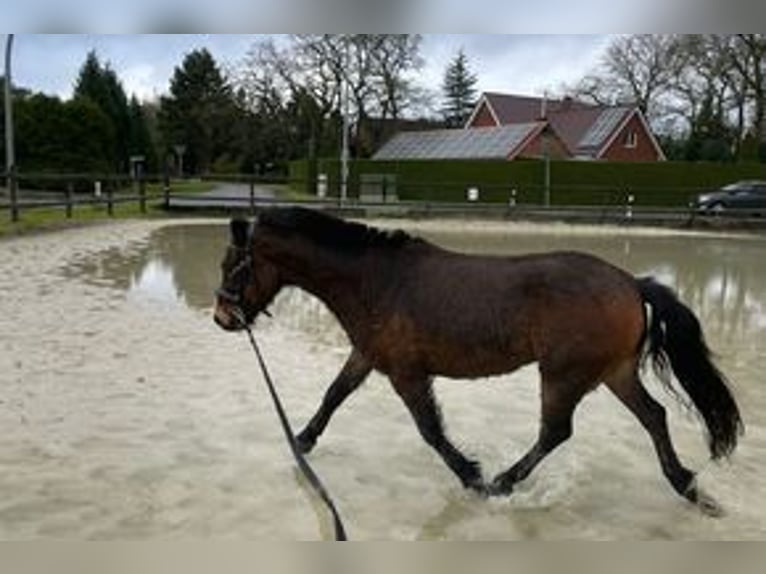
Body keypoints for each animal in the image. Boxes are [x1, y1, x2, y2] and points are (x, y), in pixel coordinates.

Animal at [214, 208, 744, 516]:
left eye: (231, 265)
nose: (222, 317)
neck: (375, 280)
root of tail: (633, 283)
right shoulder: (367, 355)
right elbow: (334, 394)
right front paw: (301, 441)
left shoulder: (407, 373)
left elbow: (430, 430)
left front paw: (471, 475)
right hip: (613, 373)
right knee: (653, 416)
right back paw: (688, 487)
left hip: (563, 375)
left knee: (556, 431)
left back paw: (502, 484)